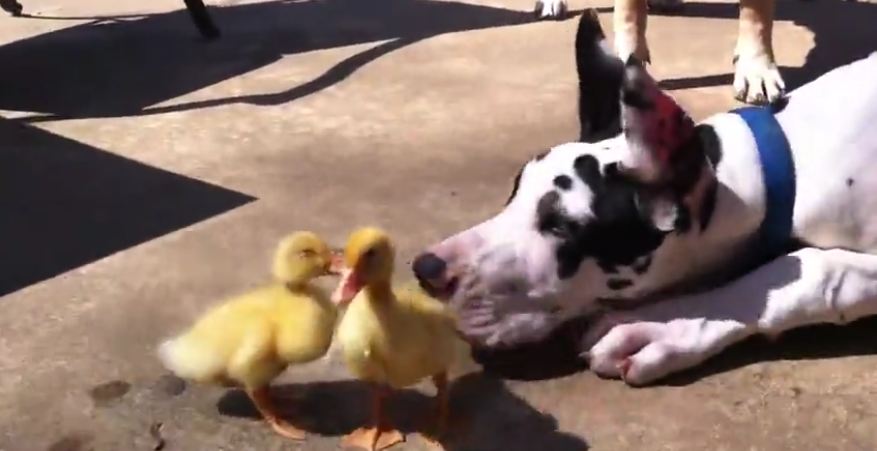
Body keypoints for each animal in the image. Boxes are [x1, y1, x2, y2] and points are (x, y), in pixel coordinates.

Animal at [412, 10, 876, 384]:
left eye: (562, 226)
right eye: (515, 192)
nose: (426, 269)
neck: (793, 156)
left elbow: (813, 267)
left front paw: (662, 327)